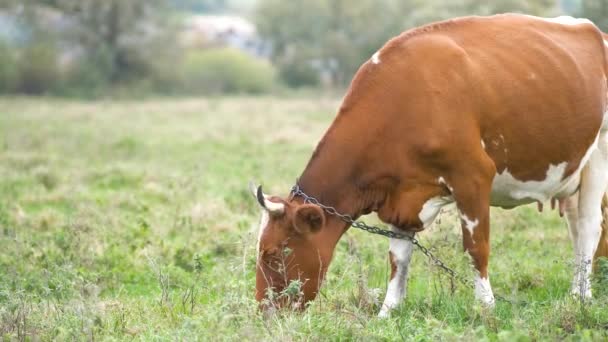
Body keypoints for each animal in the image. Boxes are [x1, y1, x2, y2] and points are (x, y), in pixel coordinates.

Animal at [249, 14, 608, 316]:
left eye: (274, 253)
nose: (265, 313)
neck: (402, 101)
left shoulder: (473, 176)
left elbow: (476, 247)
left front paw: (486, 308)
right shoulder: (400, 196)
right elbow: (398, 258)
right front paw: (387, 312)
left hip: (599, 156)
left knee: (590, 225)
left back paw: (582, 297)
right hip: (571, 173)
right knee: (576, 228)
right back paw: (576, 291)